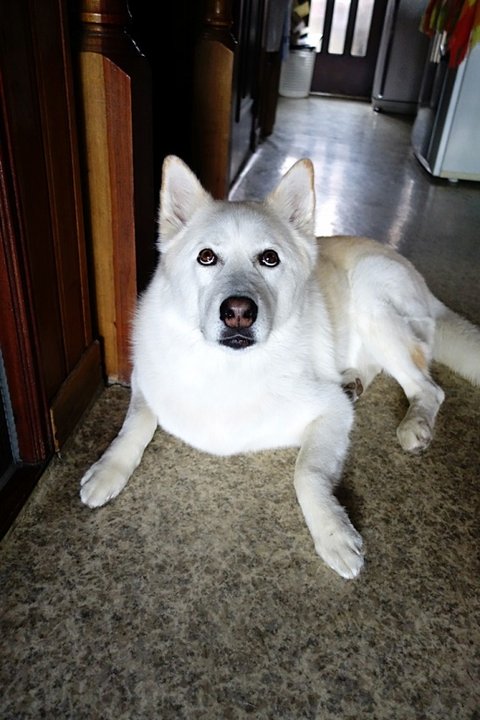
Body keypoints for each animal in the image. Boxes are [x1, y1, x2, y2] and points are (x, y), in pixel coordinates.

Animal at [80, 155, 480, 579]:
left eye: (269, 258)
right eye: (207, 256)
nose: (238, 312)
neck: (229, 370)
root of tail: (420, 279)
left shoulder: (331, 414)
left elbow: (307, 474)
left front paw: (333, 533)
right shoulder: (143, 380)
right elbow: (136, 422)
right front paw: (107, 468)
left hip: (373, 300)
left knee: (428, 387)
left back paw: (415, 423)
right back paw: (352, 381)